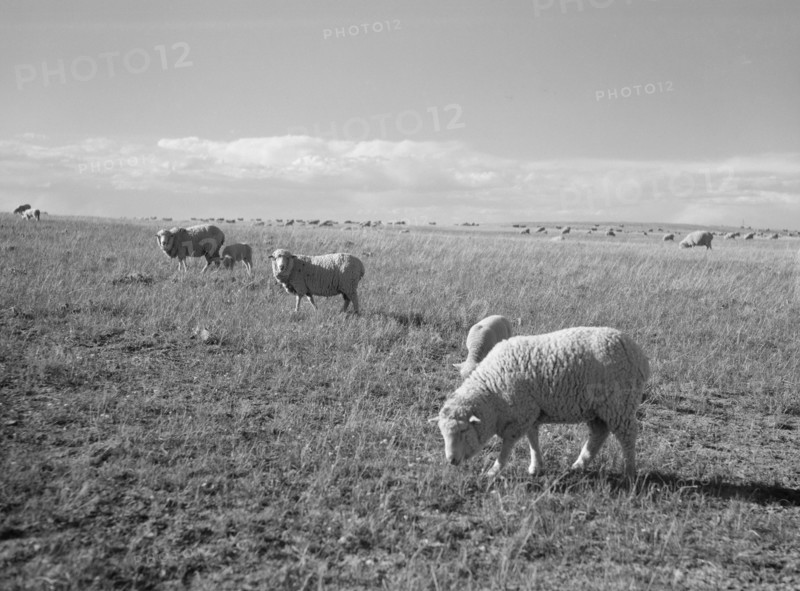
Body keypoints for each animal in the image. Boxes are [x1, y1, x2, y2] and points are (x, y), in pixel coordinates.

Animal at [430, 326, 650, 479]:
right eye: (442, 433)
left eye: (463, 431)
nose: (451, 460)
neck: (492, 392)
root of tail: (638, 353)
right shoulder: (530, 412)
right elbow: (533, 440)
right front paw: (536, 467)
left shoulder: (520, 417)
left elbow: (507, 447)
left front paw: (494, 470)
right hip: (598, 408)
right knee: (599, 434)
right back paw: (579, 465)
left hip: (620, 403)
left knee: (628, 435)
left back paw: (629, 472)